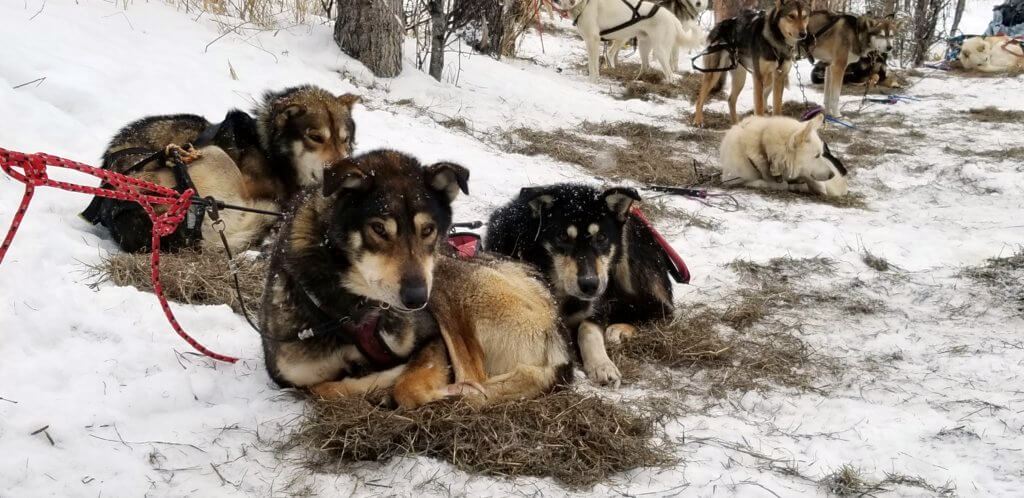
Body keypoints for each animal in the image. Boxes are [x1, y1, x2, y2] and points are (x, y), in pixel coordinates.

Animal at [260, 149, 573, 405]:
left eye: (428, 230)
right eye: (378, 229)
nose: (416, 299)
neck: (355, 308)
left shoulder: (432, 339)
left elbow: (406, 387)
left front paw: (398, 381)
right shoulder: (293, 376)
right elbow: (322, 389)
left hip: (445, 280)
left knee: (475, 378)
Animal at [485, 184, 675, 387]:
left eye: (601, 237)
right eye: (562, 236)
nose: (590, 284)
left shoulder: (597, 306)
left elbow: (588, 329)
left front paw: (602, 365)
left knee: (661, 310)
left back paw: (619, 329)